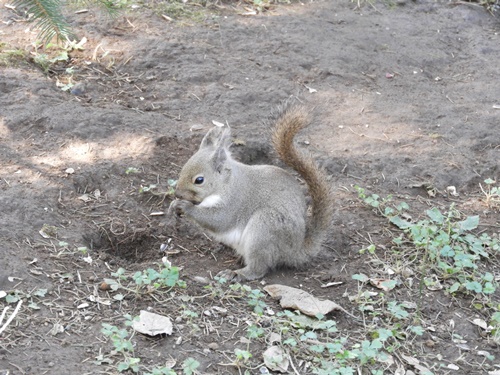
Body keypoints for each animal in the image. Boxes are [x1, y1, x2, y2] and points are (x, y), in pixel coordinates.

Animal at [169, 101, 336, 280]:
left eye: (199, 180)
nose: (177, 194)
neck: (226, 183)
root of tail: (295, 251)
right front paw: (173, 206)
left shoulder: (234, 201)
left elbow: (218, 219)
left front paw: (185, 207)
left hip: (264, 227)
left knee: (259, 267)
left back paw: (237, 273)